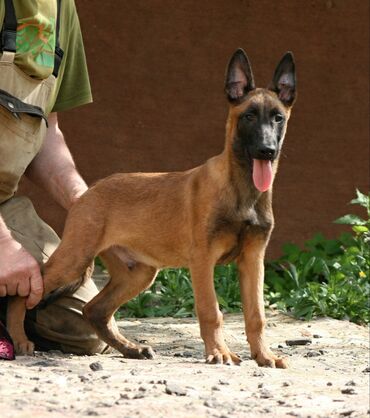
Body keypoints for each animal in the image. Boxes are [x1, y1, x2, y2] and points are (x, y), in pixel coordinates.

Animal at [7, 49, 298, 368]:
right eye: (248, 116)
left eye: (278, 118)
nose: (267, 151)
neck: (241, 190)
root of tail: (89, 192)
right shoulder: (203, 259)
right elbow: (211, 311)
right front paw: (218, 352)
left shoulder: (253, 260)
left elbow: (256, 315)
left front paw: (264, 355)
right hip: (74, 258)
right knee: (25, 292)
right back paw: (19, 338)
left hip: (138, 273)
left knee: (94, 310)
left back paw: (131, 349)